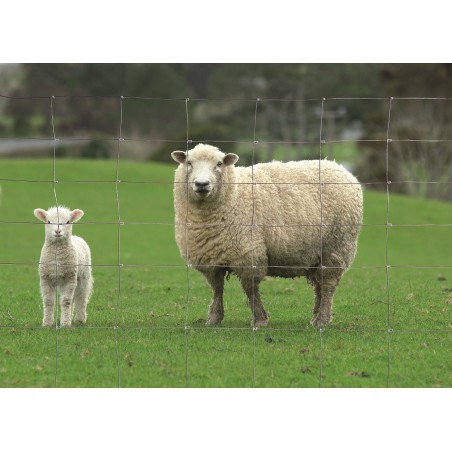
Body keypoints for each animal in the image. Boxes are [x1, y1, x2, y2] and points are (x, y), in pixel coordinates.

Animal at [172, 144, 364, 324]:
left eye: (219, 164)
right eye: (189, 163)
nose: (202, 184)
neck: (234, 196)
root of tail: (339, 168)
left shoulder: (249, 254)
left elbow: (250, 289)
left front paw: (259, 319)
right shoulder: (211, 259)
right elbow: (217, 289)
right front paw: (214, 319)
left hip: (336, 247)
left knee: (328, 284)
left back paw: (322, 319)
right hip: (317, 254)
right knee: (320, 287)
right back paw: (316, 315)